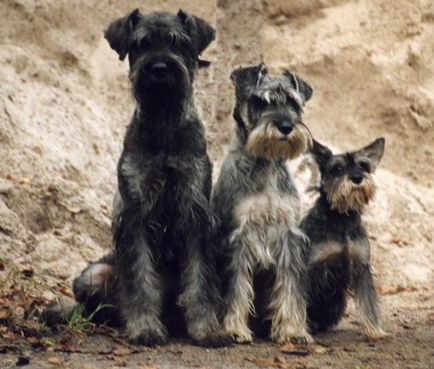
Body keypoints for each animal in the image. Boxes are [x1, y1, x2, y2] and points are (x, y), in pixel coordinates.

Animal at [70, 9, 231, 348]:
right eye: (140, 44)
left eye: (178, 42)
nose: (159, 68)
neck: (163, 122)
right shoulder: (136, 213)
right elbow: (141, 280)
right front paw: (144, 328)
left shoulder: (195, 212)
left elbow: (200, 279)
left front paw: (207, 329)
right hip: (93, 275)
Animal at [212, 63, 314, 342]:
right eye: (261, 101)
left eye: (293, 102)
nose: (286, 126)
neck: (265, 164)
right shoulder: (239, 236)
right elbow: (236, 288)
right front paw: (235, 329)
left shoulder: (289, 235)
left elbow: (290, 288)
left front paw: (293, 331)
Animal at [300, 137, 388, 338]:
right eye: (337, 168)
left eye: (364, 165)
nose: (357, 178)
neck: (342, 218)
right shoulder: (310, 268)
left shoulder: (362, 266)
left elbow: (368, 301)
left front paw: (375, 330)